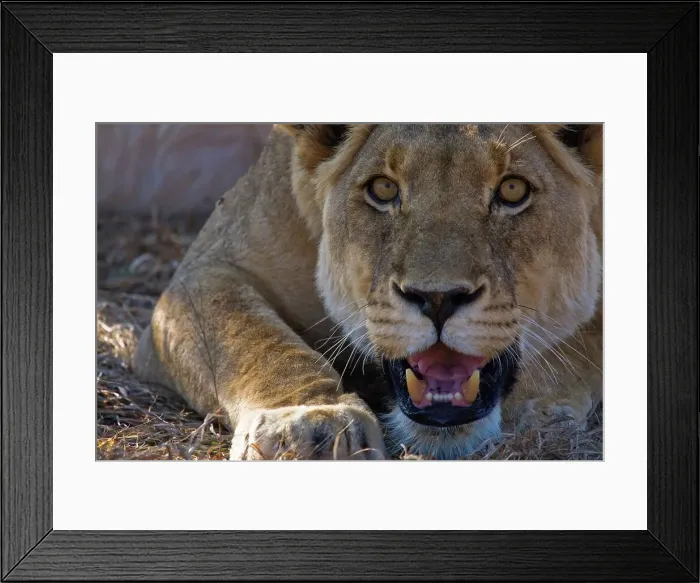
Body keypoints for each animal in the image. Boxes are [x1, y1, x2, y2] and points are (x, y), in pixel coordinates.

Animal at [133, 123, 603, 460]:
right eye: (384, 189)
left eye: (512, 190)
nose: (438, 299)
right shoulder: (208, 273)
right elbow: (253, 340)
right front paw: (309, 424)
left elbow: (586, 337)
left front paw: (542, 408)